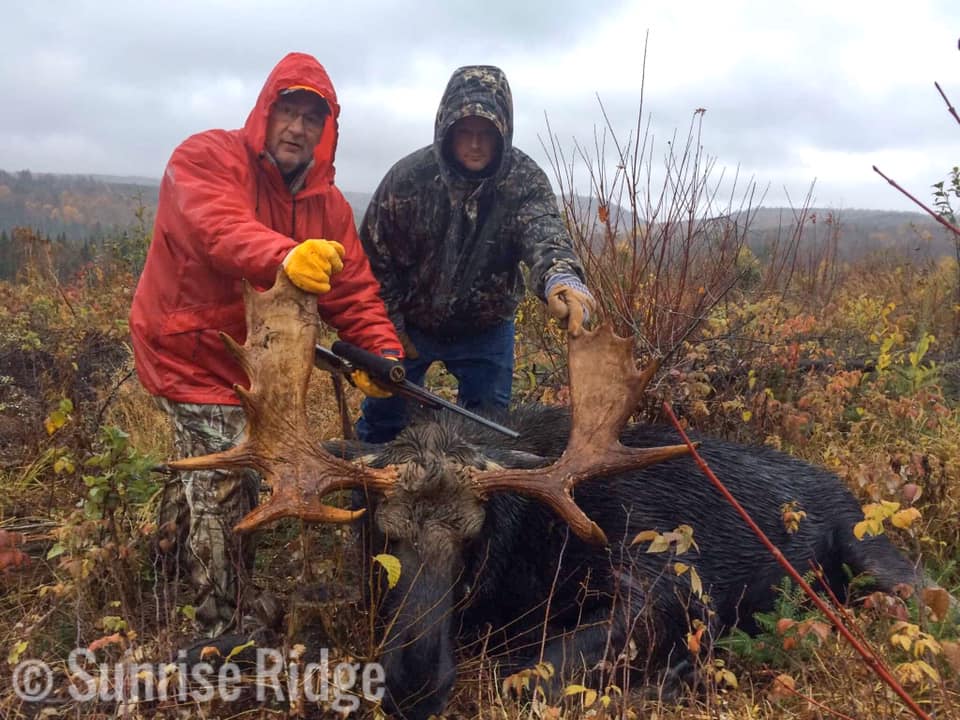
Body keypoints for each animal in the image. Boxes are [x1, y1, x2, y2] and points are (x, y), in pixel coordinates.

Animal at [171, 270, 924, 720]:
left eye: (472, 540)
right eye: (383, 532)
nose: (413, 682)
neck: (523, 555)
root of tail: (847, 492)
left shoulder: (665, 582)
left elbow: (527, 672)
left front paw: (676, 674)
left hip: (879, 559)